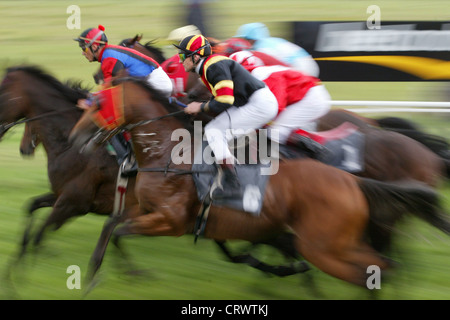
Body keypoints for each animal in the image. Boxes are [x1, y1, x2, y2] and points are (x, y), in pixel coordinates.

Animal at [68, 77, 450, 288]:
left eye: (96, 104)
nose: (75, 138)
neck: (170, 154)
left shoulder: (170, 221)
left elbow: (119, 231)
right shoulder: (146, 211)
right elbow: (111, 228)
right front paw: (96, 273)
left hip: (334, 242)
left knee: (377, 266)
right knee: (385, 264)